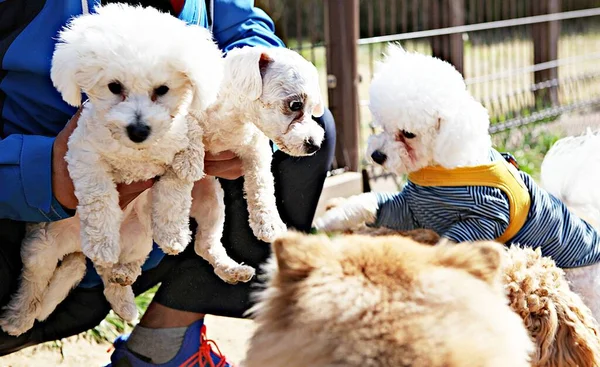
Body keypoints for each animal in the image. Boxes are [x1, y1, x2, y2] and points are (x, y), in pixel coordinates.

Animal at [0, 2, 224, 336]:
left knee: (110, 274)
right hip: (41, 250)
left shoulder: (177, 148)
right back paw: (19, 317)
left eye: (162, 89)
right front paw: (102, 242)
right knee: (34, 284)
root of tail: (77, 249)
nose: (139, 130)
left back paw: (125, 296)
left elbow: (174, 191)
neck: (135, 152)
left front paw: (172, 234)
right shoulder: (83, 156)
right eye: (115, 87)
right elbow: (99, 198)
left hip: (137, 240)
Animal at [190, 46, 326, 284]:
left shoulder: (255, 148)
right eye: (295, 105)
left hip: (211, 201)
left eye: (311, 109)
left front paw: (268, 223)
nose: (315, 145)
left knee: (204, 244)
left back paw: (233, 270)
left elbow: (261, 184)